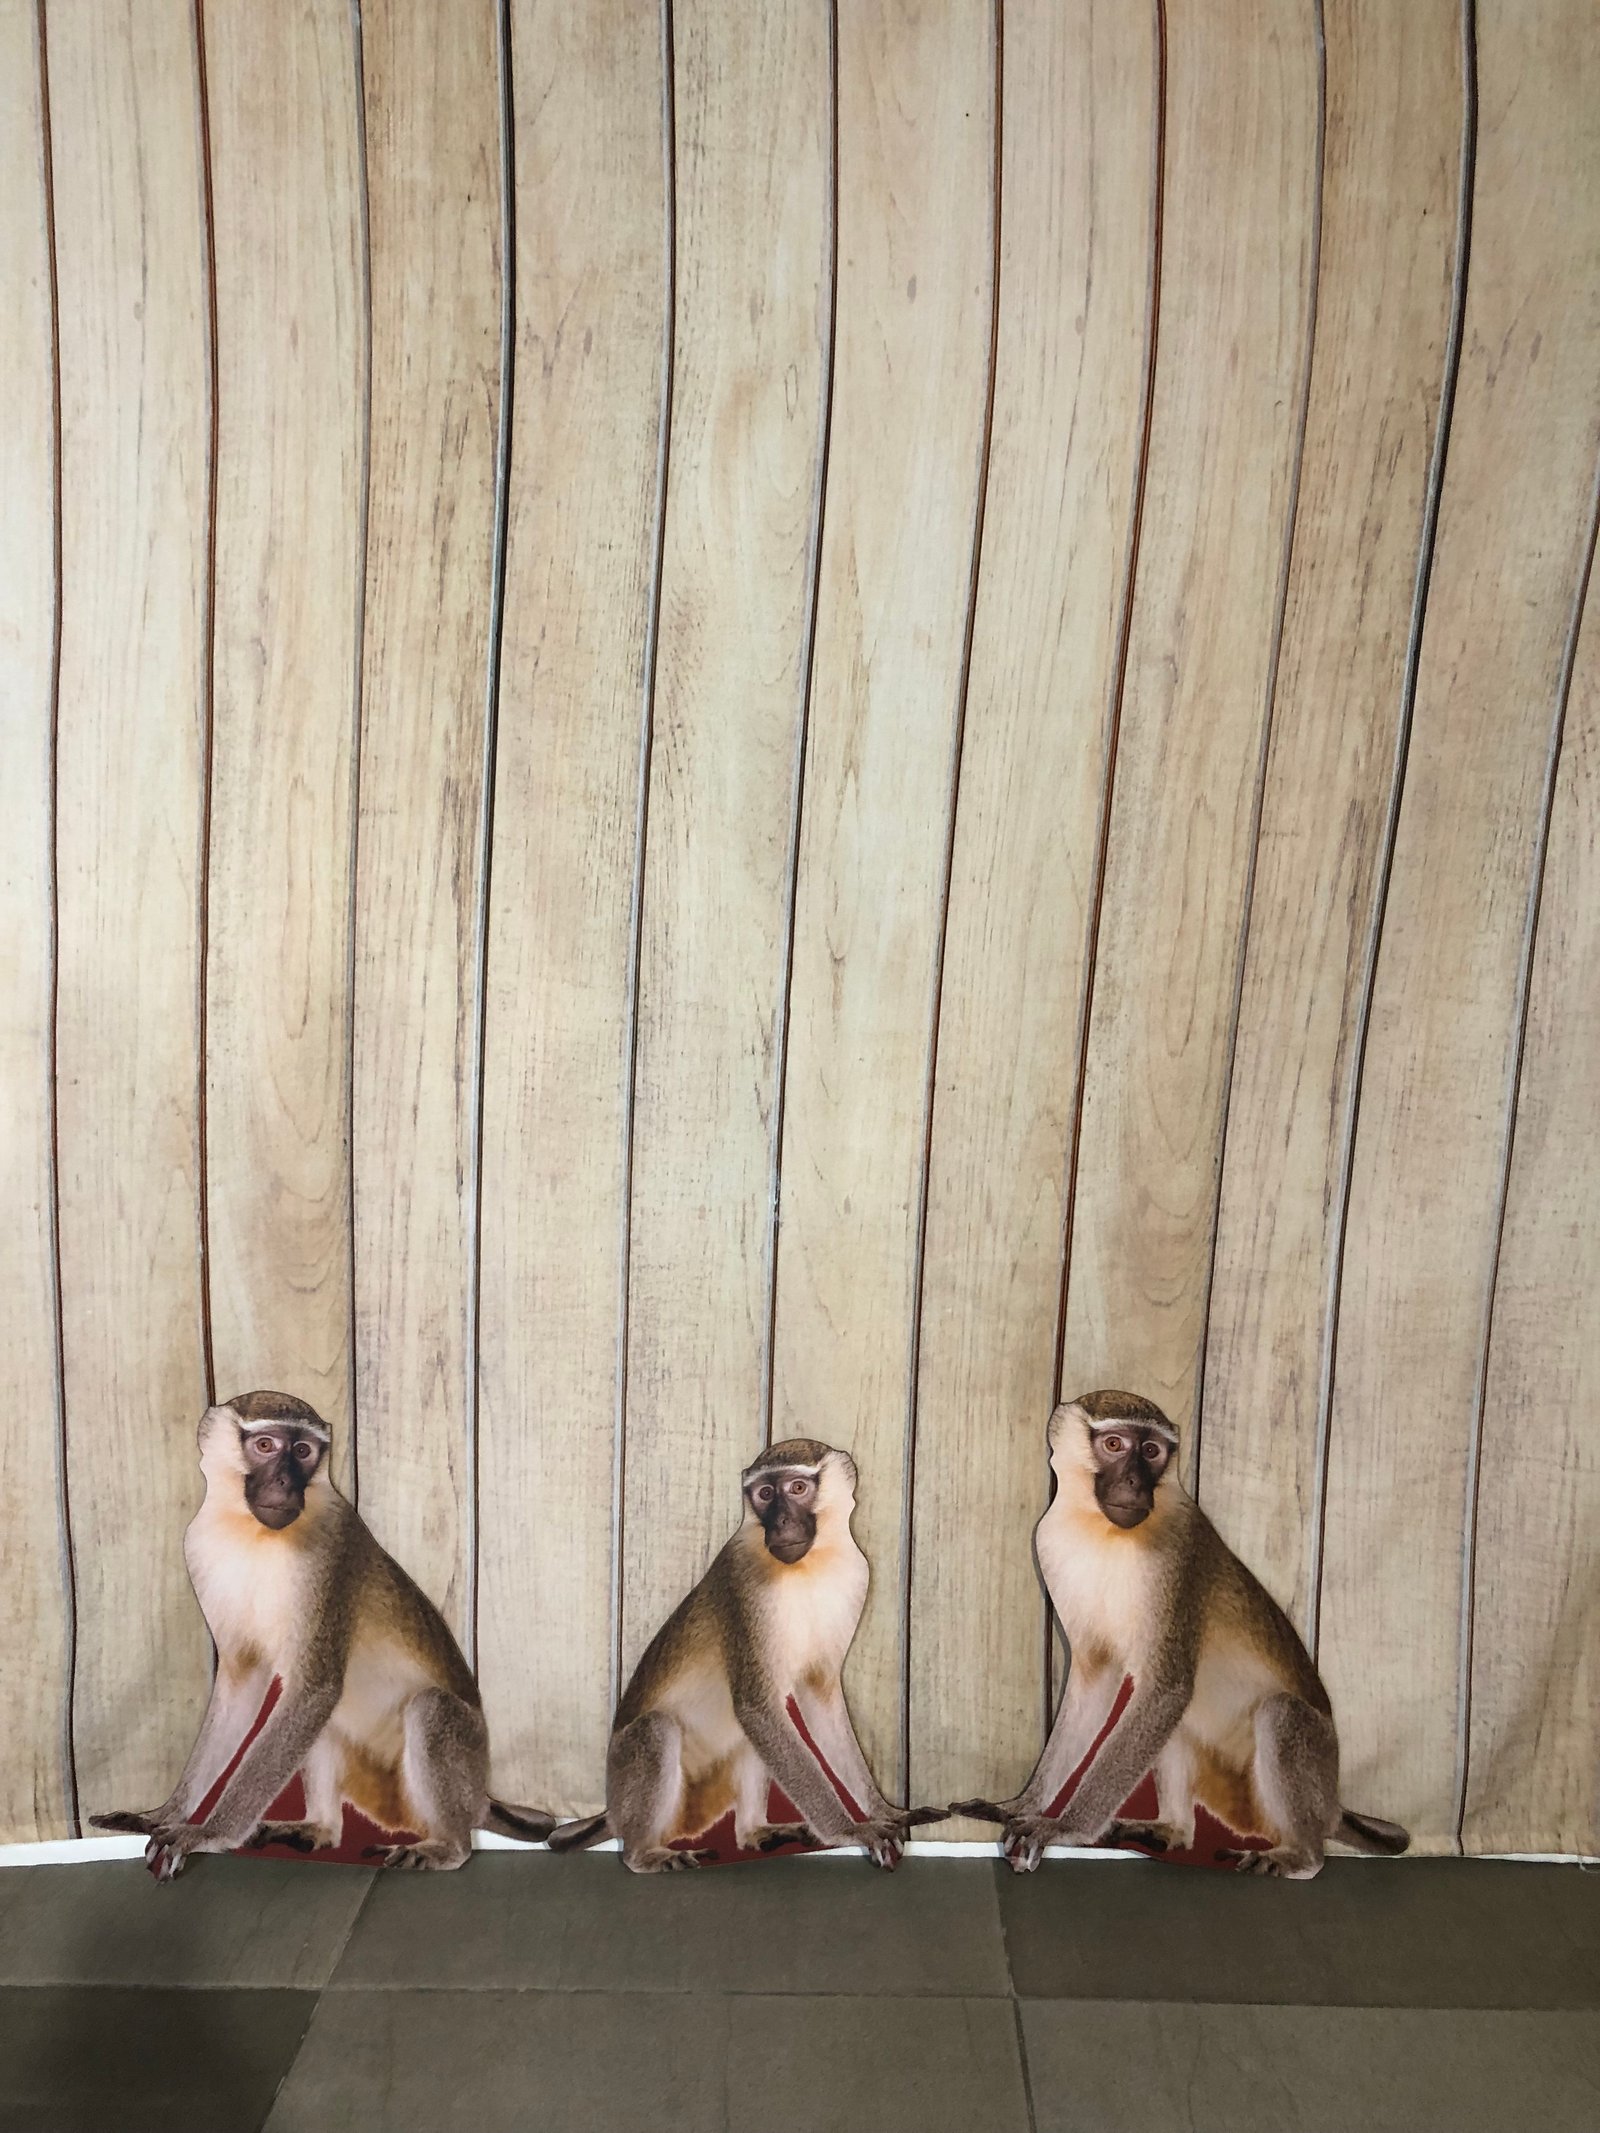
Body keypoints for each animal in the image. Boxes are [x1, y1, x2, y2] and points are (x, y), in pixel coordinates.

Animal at [91, 1392, 555, 1880]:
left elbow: (314, 1688)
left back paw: (449, 1847)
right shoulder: (197, 1545)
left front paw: (208, 1833)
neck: (250, 1531)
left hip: (453, 1773)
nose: (284, 1481)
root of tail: (481, 1796)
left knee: (428, 1708)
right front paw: (164, 1814)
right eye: (265, 1445)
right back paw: (321, 1827)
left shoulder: (330, 1552)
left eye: (302, 1452)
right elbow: (245, 1687)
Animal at [549, 1438, 939, 1871]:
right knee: (661, 1729)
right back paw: (643, 1855)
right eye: (765, 1494)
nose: (780, 1523)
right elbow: (756, 1706)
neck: (812, 1564)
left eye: (797, 1488)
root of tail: (614, 1813)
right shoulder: (744, 1582)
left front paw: (884, 1810)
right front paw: (851, 1830)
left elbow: (816, 1700)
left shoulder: (856, 1574)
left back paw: (753, 1831)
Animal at [954, 1391, 1410, 1877]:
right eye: (1114, 1444)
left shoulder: (1178, 1553)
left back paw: (1300, 1856)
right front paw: (1022, 1804)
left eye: (1152, 1451)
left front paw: (1064, 1827)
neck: (1100, 1529)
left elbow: (1167, 1688)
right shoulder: (1049, 1542)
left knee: (1277, 1712)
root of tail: (1333, 1806)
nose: (1134, 1481)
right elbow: (1098, 1684)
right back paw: (1172, 1829)